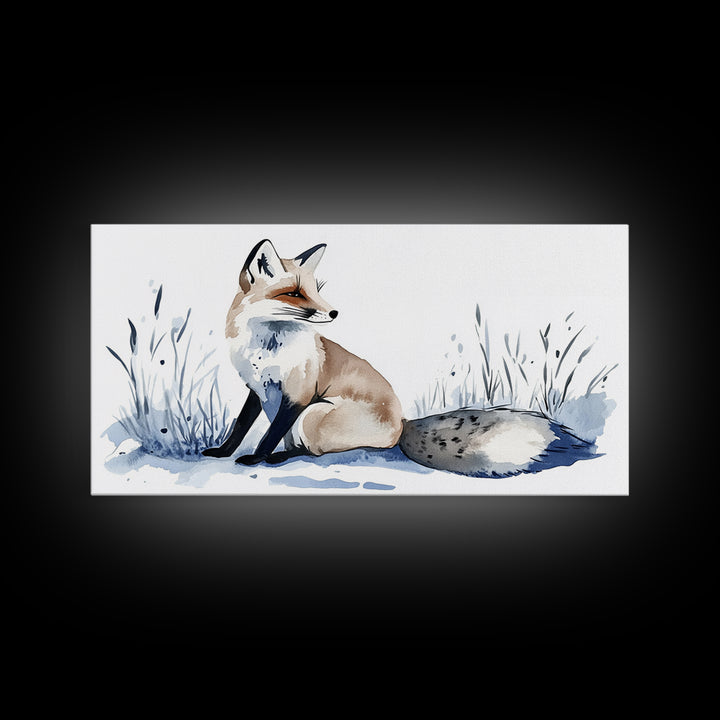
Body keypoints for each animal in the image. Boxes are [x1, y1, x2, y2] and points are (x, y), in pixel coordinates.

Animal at [202, 239, 594, 476]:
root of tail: (403, 425)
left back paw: (280, 457)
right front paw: (223, 452)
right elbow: (240, 426)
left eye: (316, 290)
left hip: (314, 414)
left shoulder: (297, 395)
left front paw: (256, 457)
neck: (265, 350)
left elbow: (269, 434)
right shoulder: (258, 390)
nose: (333, 313)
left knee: (313, 452)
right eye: (295, 293)